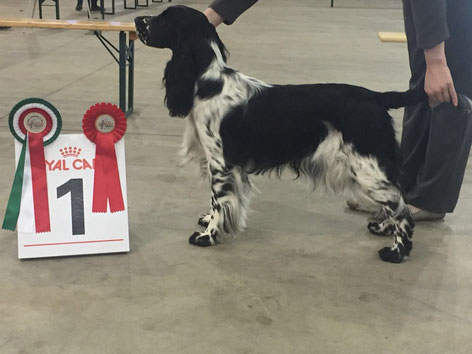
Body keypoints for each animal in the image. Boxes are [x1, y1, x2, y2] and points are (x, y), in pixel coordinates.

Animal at [135, 5, 426, 262]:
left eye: (164, 18)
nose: (137, 20)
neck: (209, 82)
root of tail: (377, 97)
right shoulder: (229, 165)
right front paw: (208, 220)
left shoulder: (220, 162)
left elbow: (218, 199)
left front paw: (207, 235)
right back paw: (383, 229)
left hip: (367, 167)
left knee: (401, 210)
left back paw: (396, 253)